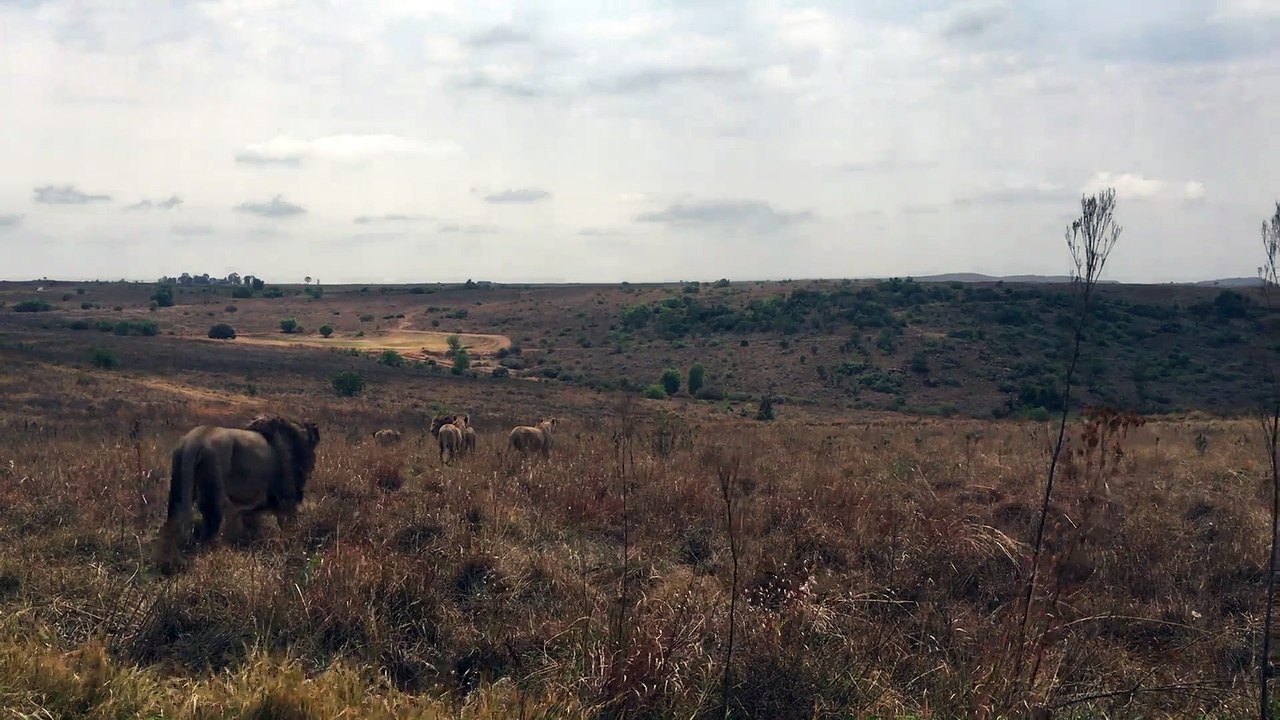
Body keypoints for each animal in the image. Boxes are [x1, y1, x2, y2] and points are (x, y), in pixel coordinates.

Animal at [156, 414, 320, 570]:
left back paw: (167, 560)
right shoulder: (286, 499)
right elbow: (287, 527)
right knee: (207, 533)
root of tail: (194, 441)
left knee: (171, 524)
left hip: (178, 490)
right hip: (213, 499)